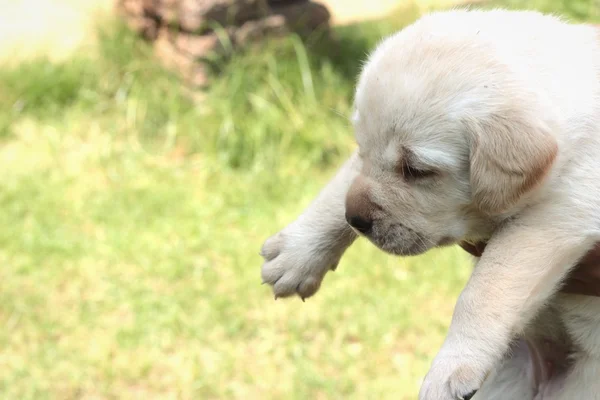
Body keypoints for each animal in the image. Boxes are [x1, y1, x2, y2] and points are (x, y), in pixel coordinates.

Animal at [260, 9, 600, 400]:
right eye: (361, 147)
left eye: (416, 170)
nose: (355, 219)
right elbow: (342, 185)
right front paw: (296, 255)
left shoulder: (560, 210)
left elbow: (488, 286)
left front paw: (450, 368)